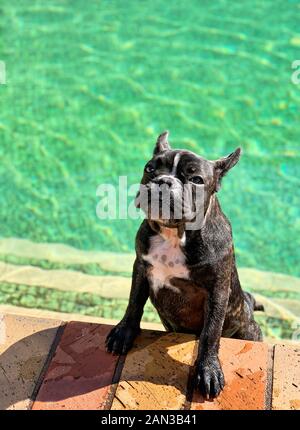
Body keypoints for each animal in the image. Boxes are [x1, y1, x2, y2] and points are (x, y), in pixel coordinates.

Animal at [105, 132, 262, 400]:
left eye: (196, 179)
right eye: (150, 168)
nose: (163, 181)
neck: (173, 234)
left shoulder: (217, 290)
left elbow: (211, 332)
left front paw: (208, 370)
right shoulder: (141, 268)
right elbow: (134, 303)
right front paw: (124, 332)